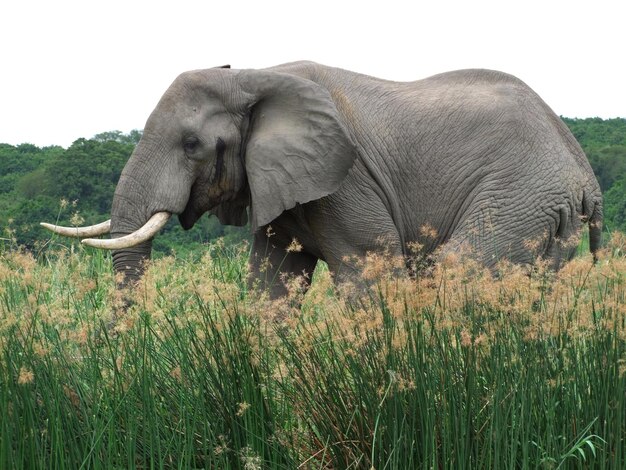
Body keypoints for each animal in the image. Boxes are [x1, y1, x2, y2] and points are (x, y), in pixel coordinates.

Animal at [41, 61, 604, 298]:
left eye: (192, 145)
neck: (253, 75)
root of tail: (585, 173)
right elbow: (271, 284)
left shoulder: (346, 181)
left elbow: (369, 275)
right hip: (542, 211)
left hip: (518, 193)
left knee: (459, 269)